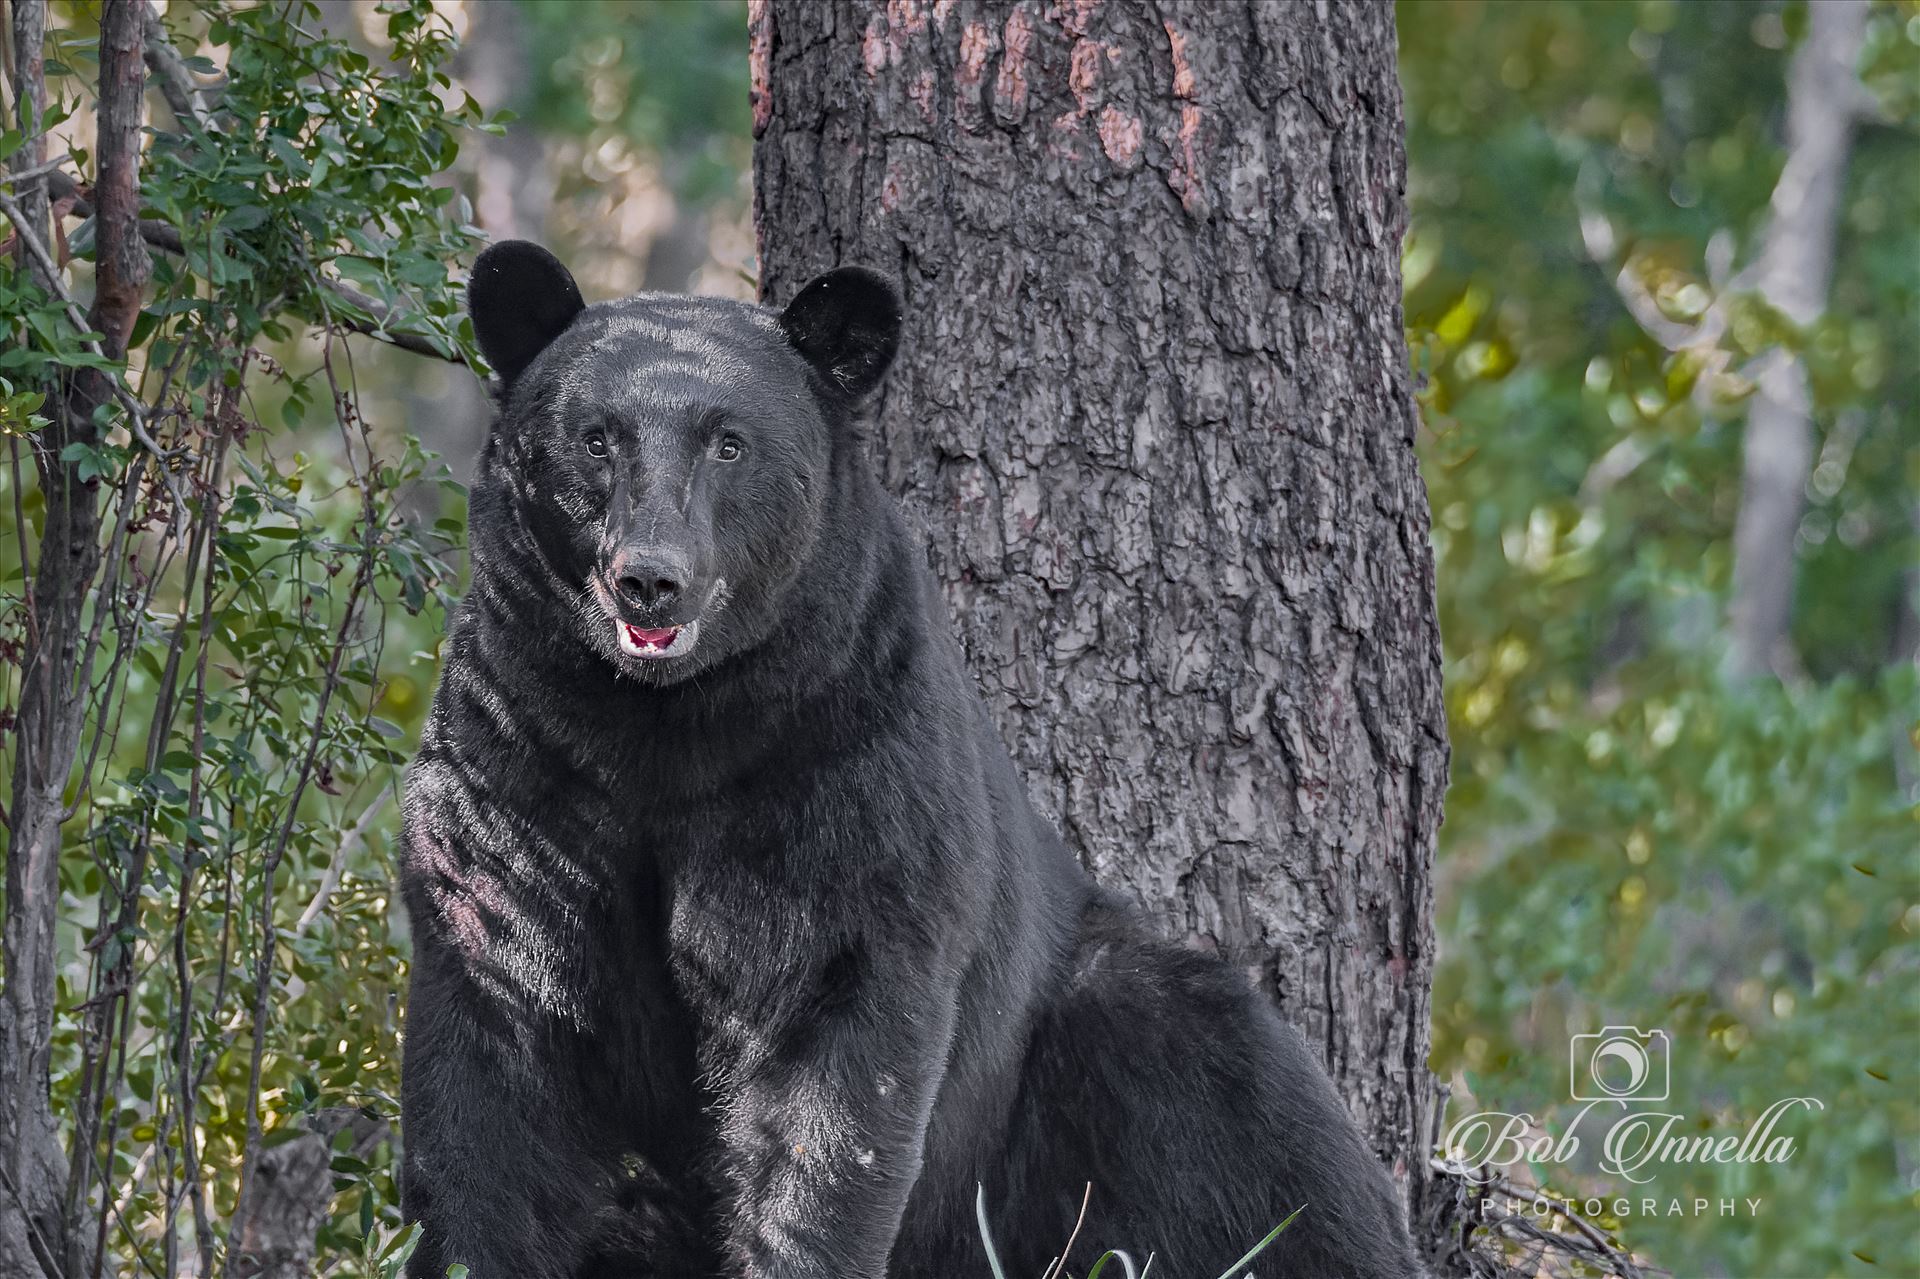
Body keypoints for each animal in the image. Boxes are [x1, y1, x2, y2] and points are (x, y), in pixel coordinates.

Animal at [401, 241, 1428, 1275]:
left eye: (729, 442)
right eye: (595, 438)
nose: (651, 577)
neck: (668, 723)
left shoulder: (845, 758)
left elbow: (831, 1030)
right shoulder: (522, 757)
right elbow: (499, 1032)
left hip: (1104, 1040)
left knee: (1269, 1142)